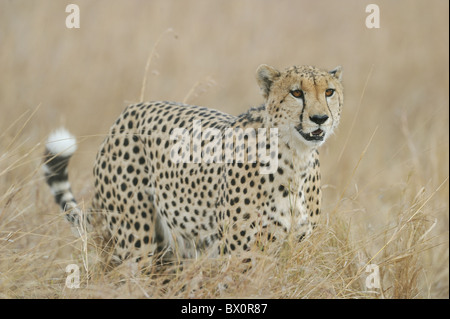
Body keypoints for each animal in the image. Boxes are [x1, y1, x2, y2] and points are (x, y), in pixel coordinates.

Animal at [44, 64, 342, 264]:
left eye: (329, 91)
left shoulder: (295, 247)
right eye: (296, 93)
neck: (296, 159)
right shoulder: (240, 253)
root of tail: (128, 112)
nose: (319, 119)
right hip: (136, 240)